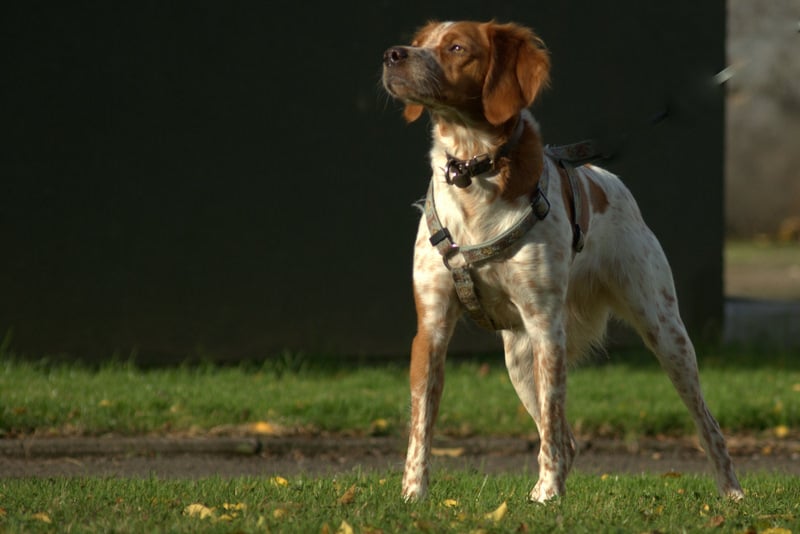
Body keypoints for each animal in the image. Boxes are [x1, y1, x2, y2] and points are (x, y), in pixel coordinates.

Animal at [382, 21, 744, 504]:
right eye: (420, 41)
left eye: (457, 47)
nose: (394, 55)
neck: (474, 174)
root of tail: (608, 178)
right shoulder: (432, 329)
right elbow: (422, 424)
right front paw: (413, 494)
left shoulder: (545, 326)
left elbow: (553, 423)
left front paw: (548, 494)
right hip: (517, 358)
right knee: (567, 438)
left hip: (666, 334)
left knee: (707, 424)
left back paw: (732, 492)